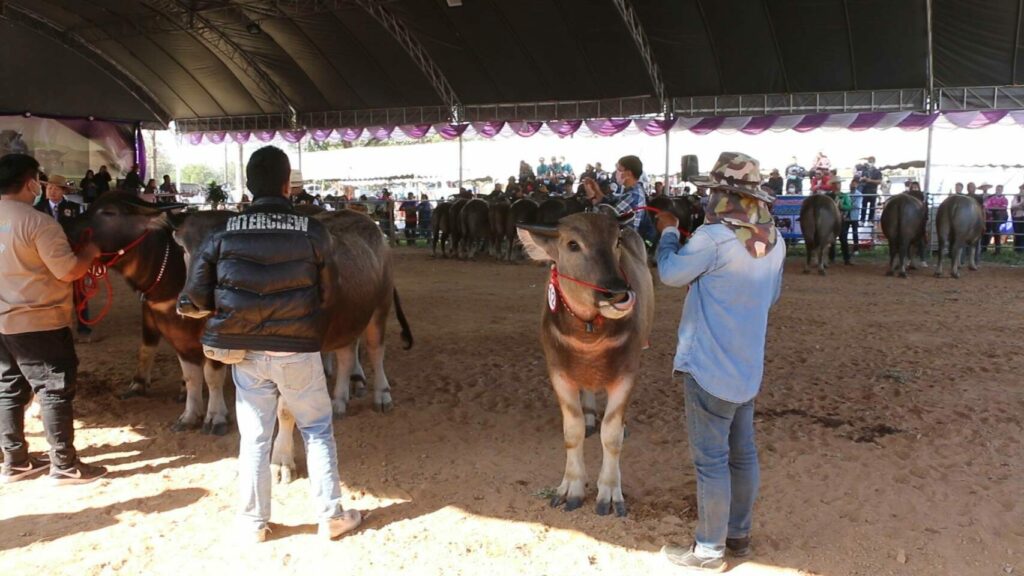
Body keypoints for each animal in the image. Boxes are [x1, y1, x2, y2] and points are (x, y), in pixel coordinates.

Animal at [516, 211, 654, 517]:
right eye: (572, 244)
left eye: (616, 241)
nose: (616, 292)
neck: (589, 334)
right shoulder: (559, 374)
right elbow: (572, 432)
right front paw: (571, 488)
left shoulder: (627, 374)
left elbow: (611, 436)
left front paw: (610, 492)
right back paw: (591, 416)